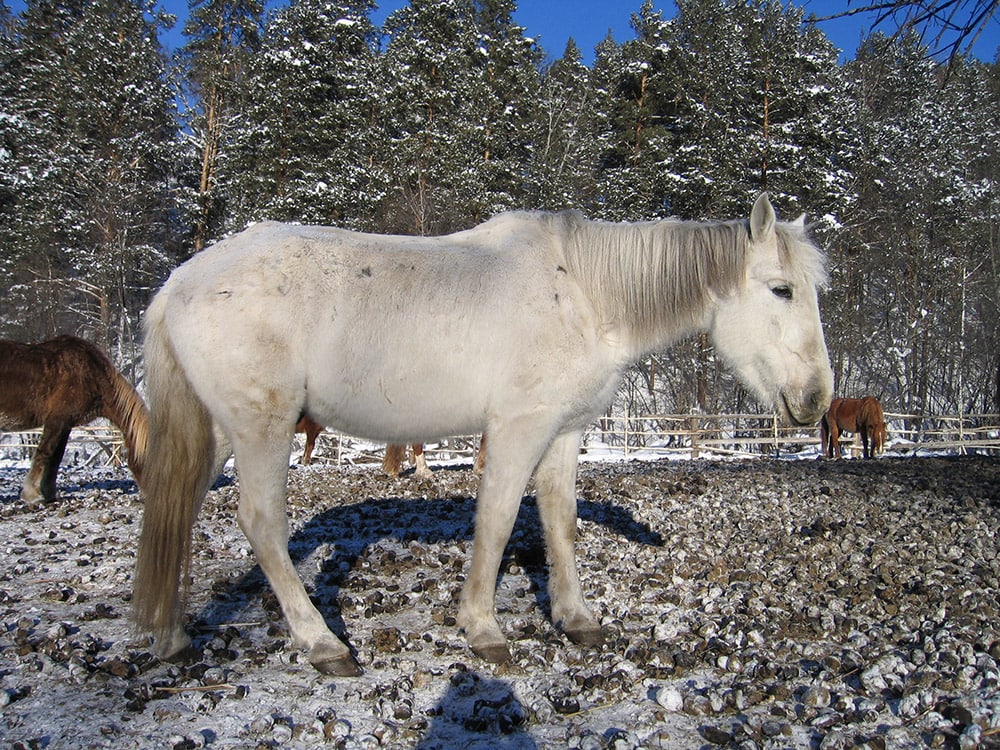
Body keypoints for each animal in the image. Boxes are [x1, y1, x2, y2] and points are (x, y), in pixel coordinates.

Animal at [0, 335, 148, 504]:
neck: (90, 374)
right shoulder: (56, 421)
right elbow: (44, 454)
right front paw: (32, 495)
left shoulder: (65, 424)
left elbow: (55, 459)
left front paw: (49, 494)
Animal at [133, 193, 832, 676]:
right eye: (781, 289)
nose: (816, 399)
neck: (581, 294)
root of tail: (177, 284)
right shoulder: (519, 429)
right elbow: (496, 520)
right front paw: (482, 627)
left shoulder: (565, 431)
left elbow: (558, 520)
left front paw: (576, 619)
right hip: (263, 426)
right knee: (261, 523)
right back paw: (321, 643)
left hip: (220, 433)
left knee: (175, 508)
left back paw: (170, 638)